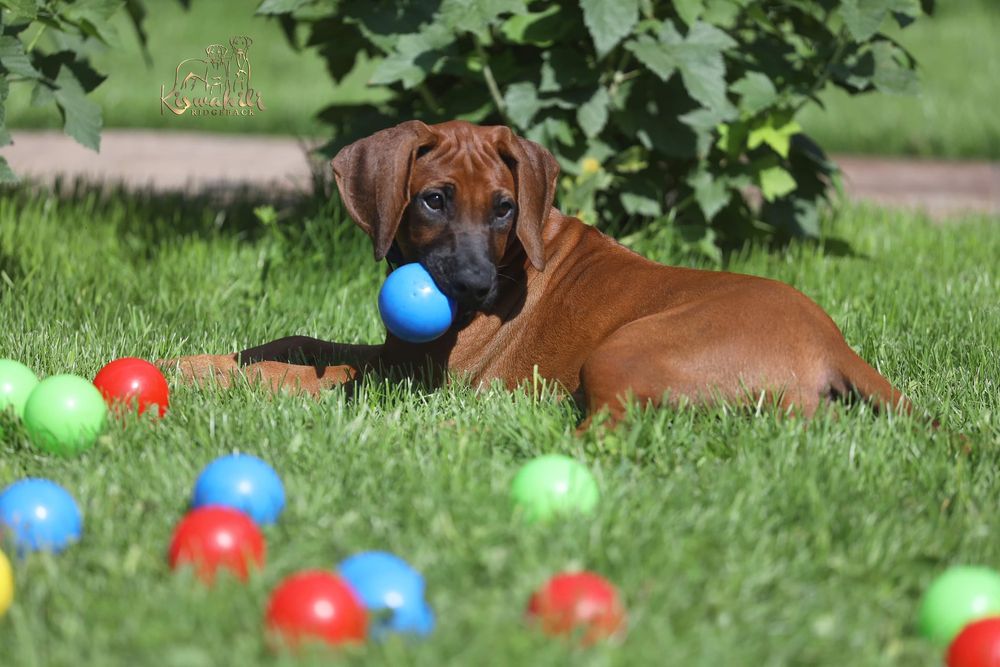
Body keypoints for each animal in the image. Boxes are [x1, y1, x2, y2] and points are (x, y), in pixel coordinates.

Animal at [162, 120, 916, 430]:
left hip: (625, 350)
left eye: (504, 207)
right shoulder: (395, 352)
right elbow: (304, 343)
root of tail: (831, 342)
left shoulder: (414, 376)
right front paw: (205, 360)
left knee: (610, 430)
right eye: (433, 200)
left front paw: (222, 377)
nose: (474, 288)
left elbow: (308, 373)